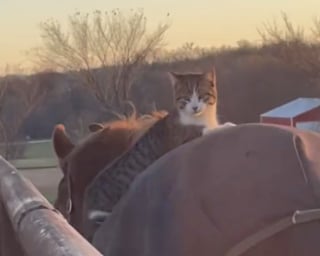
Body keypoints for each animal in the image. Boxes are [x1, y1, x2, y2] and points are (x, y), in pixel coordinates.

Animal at [82, 67, 221, 240]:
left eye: (201, 96)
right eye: (186, 99)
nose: (195, 107)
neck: (201, 118)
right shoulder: (183, 140)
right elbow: (207, 131)